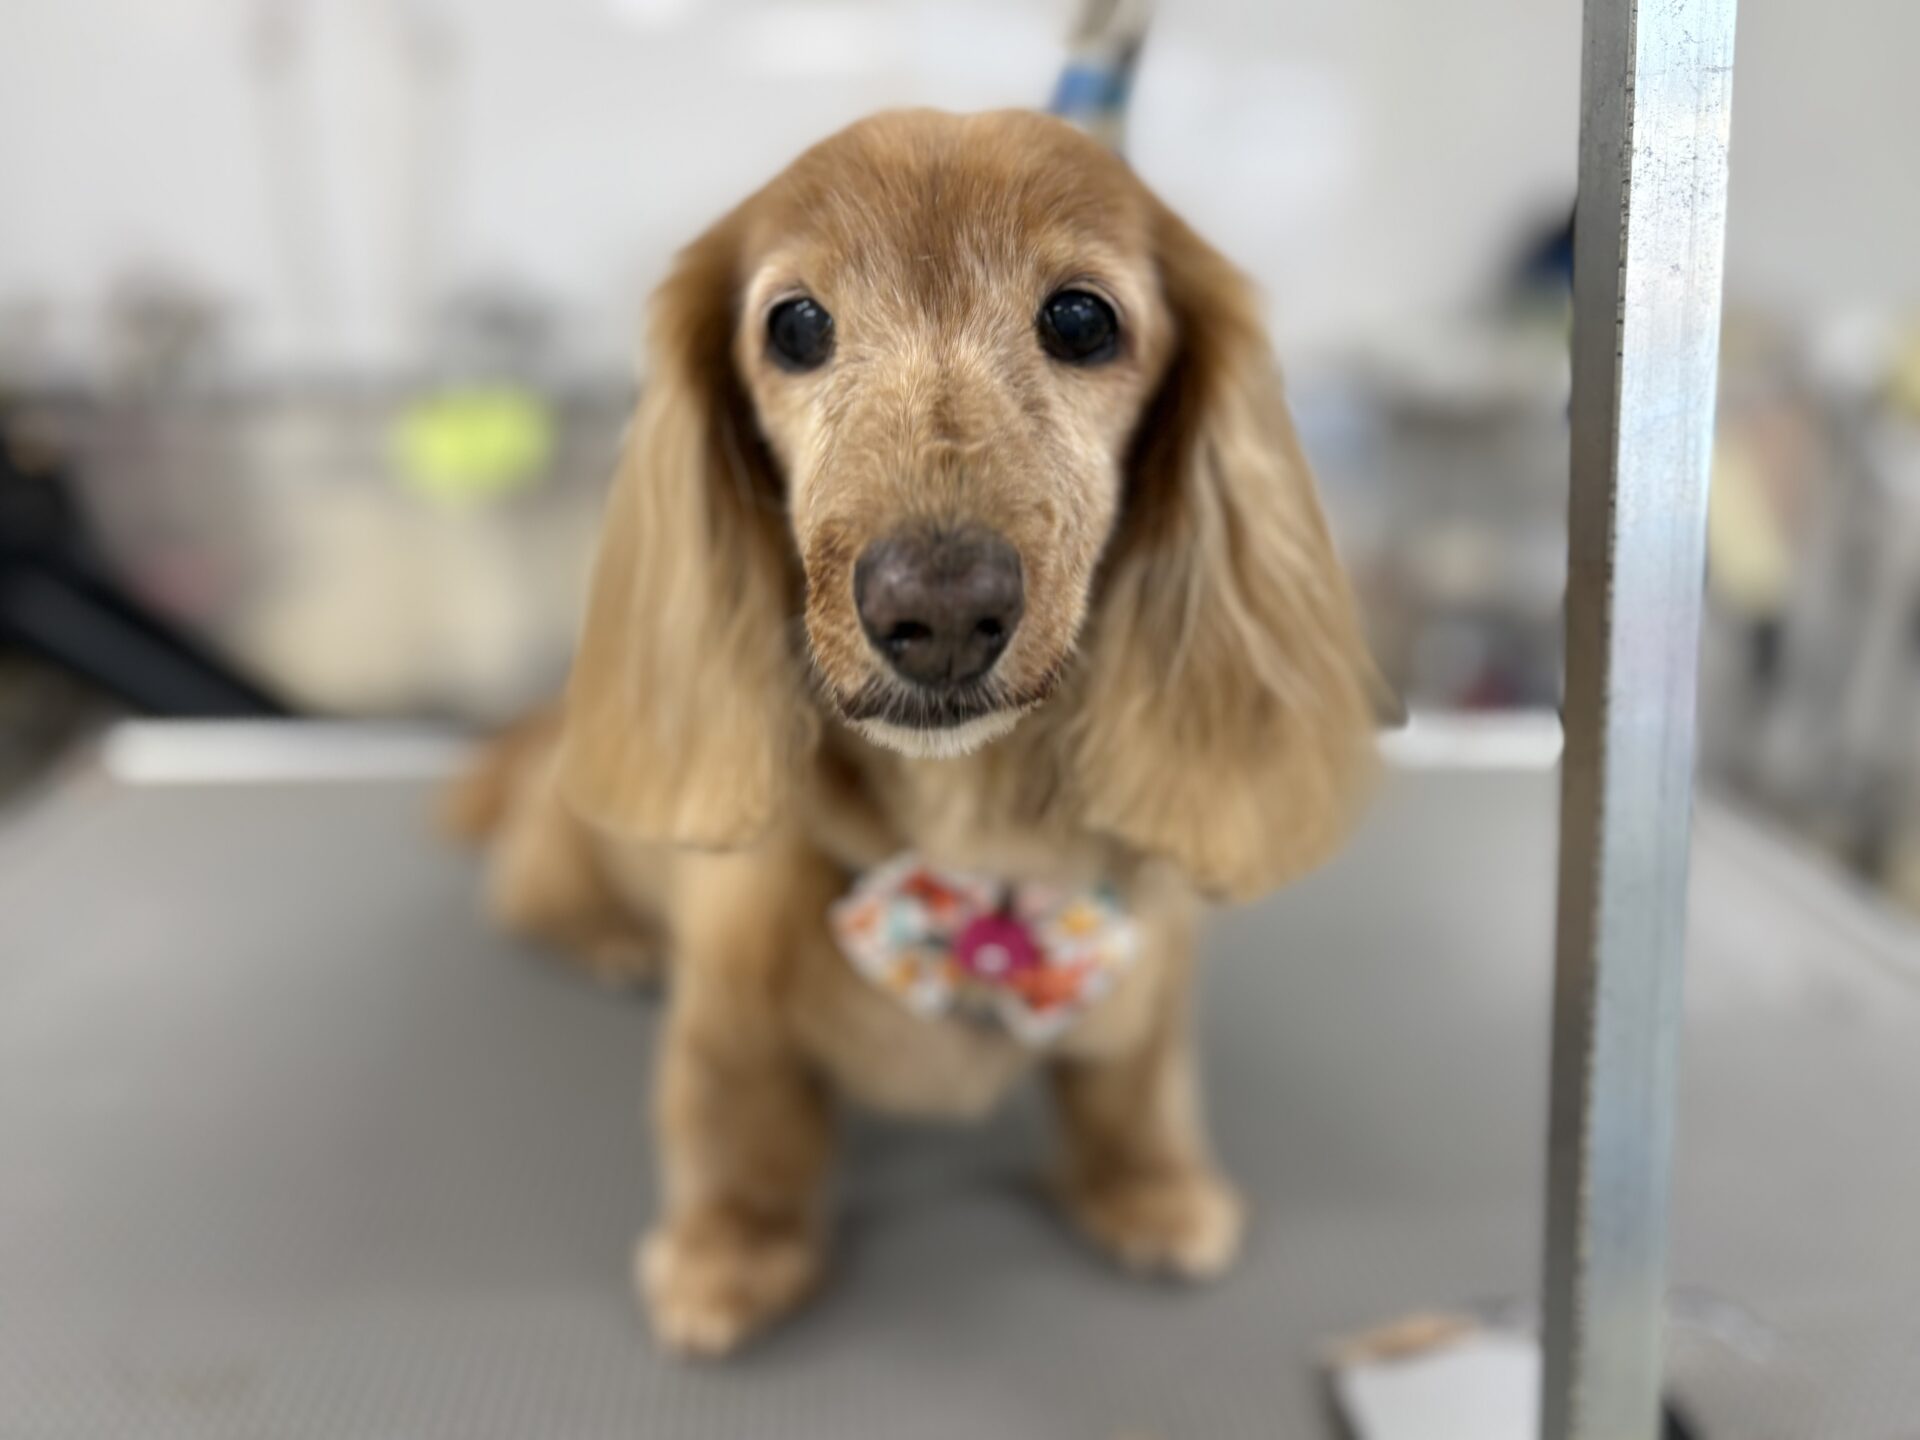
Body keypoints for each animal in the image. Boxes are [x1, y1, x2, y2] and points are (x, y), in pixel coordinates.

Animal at [451, 108, 1378, 1356]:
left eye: (1081, 318)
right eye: (796, 324)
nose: (937, 610)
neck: (969, 859)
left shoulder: (1141, 970)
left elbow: (1135, 1078)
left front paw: (1150, 1184)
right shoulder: (728, 1019)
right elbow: (739, 1118)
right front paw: (732, 1246)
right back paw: (613, 944)